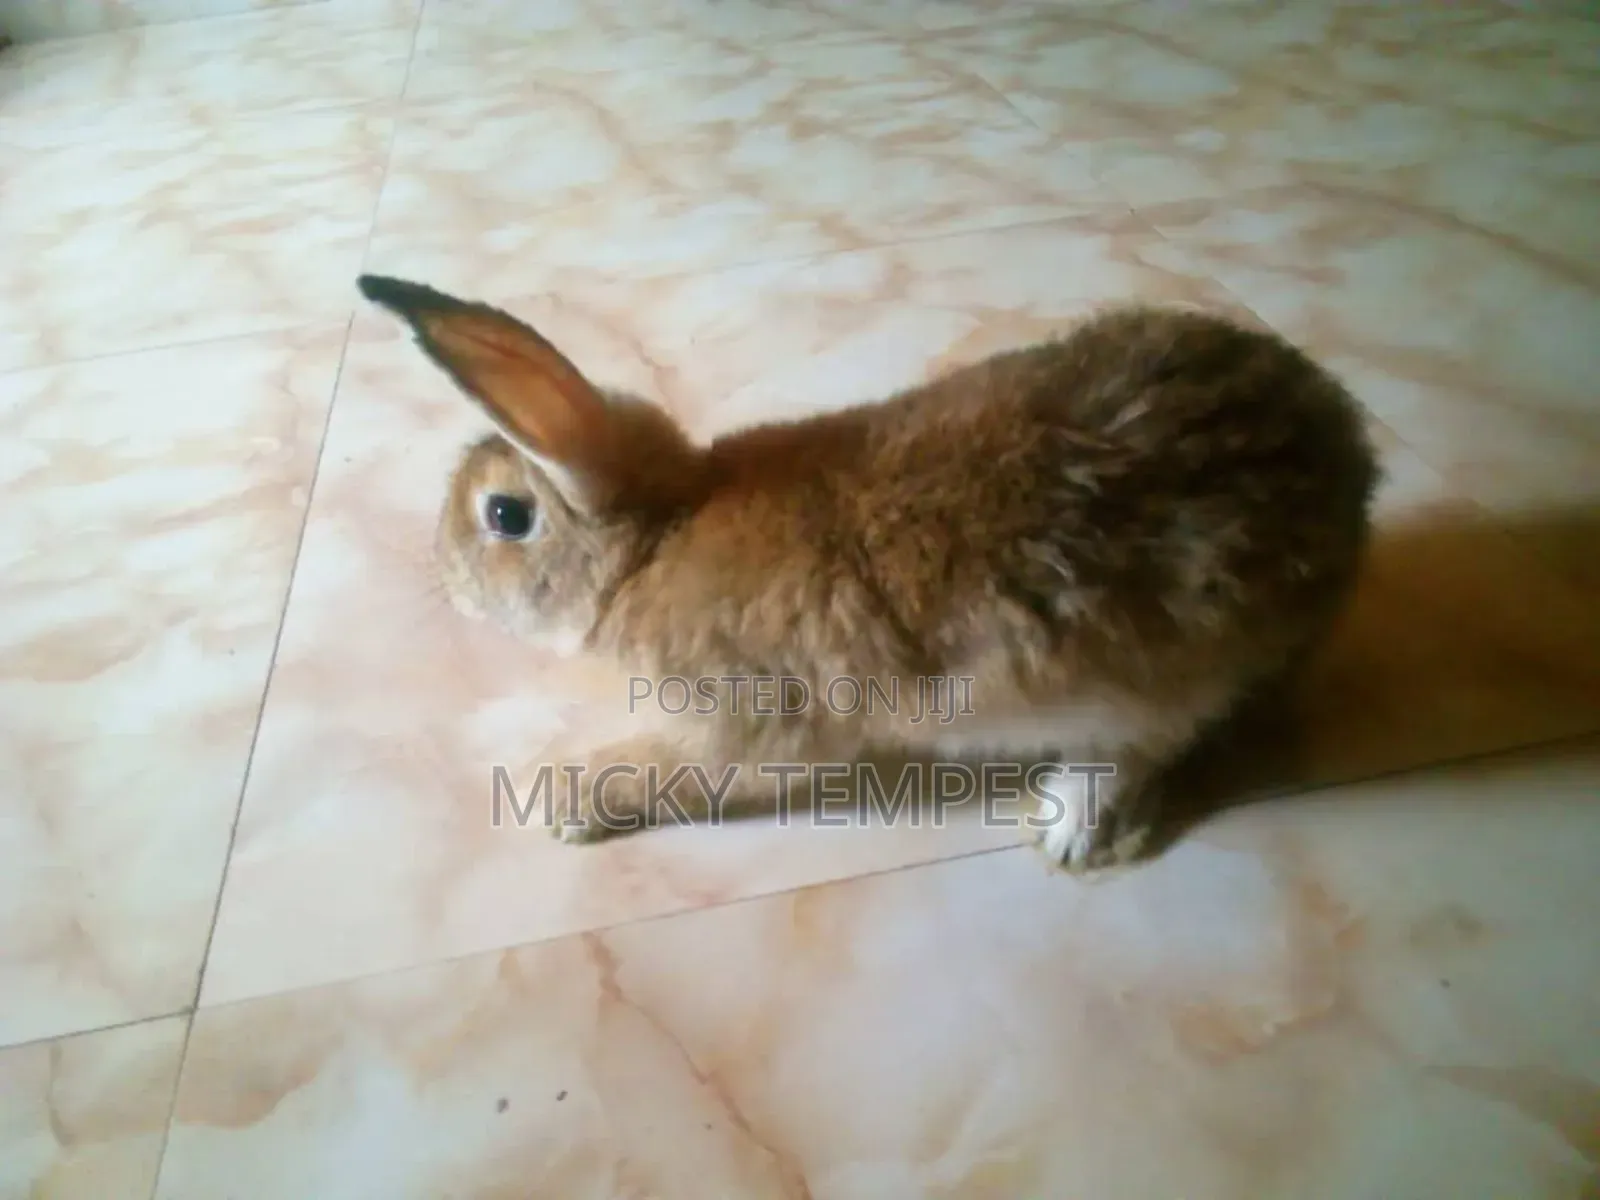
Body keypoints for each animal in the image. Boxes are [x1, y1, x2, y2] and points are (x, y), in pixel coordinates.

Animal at [357, 273, 1378, 873]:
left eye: (504, 516)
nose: (441, 577)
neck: (653, 543)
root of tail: (1347, 469)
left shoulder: (744, 717)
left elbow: (684, 770)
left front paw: (572, 794)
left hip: (1158, 664)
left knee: (1148, 741)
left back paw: (1068, 828)